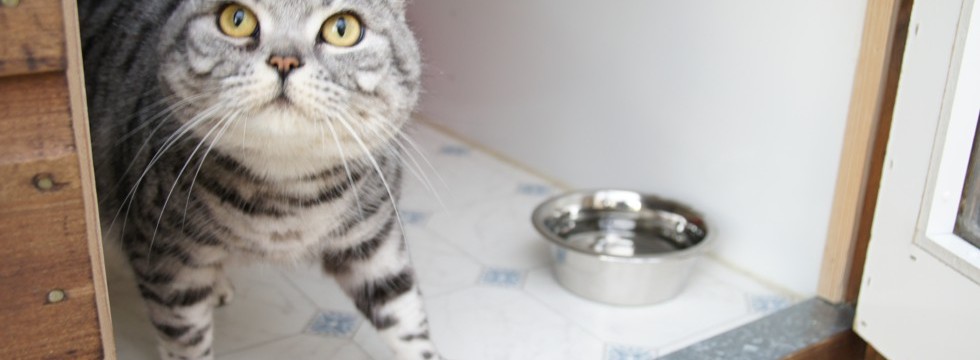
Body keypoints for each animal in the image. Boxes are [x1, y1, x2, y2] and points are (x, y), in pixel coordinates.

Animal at [80, 0, 440, 358]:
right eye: (236, 19)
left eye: (342, 28)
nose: (284, 60)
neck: (288, 197)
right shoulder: (166, 264)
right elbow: (188, 343)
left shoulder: (376, 246)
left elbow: (408, 322)